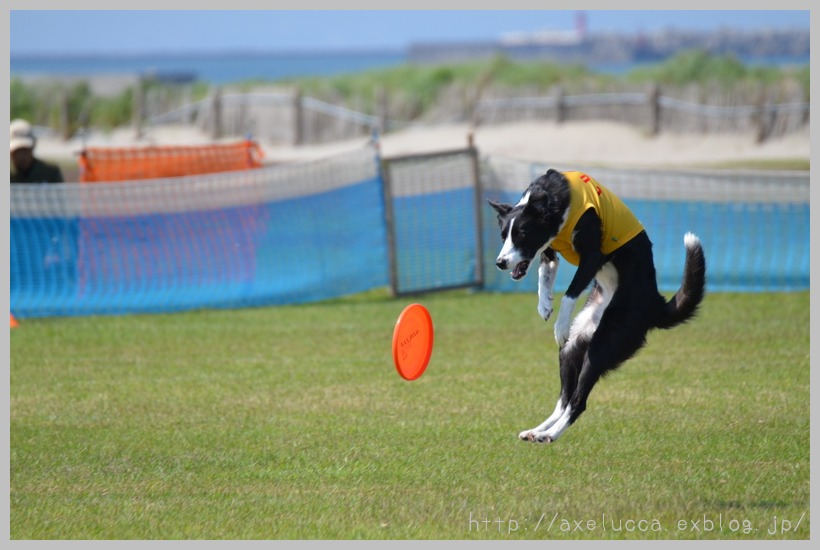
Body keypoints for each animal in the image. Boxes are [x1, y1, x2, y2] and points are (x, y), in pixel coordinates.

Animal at [486, 168, 704, 444]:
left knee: (578, 402)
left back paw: (550, 435)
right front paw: (544, 306)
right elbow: (543, 277)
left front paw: (559, 324)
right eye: (503, 236)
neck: (554, 198)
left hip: (603, 345)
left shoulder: (591, 257)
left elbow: (569, 293)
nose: (500, 262)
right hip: (573, 345)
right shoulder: (549, 253)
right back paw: (538, 431)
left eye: (522, 235)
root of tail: (654, 303)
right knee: (564, 400)